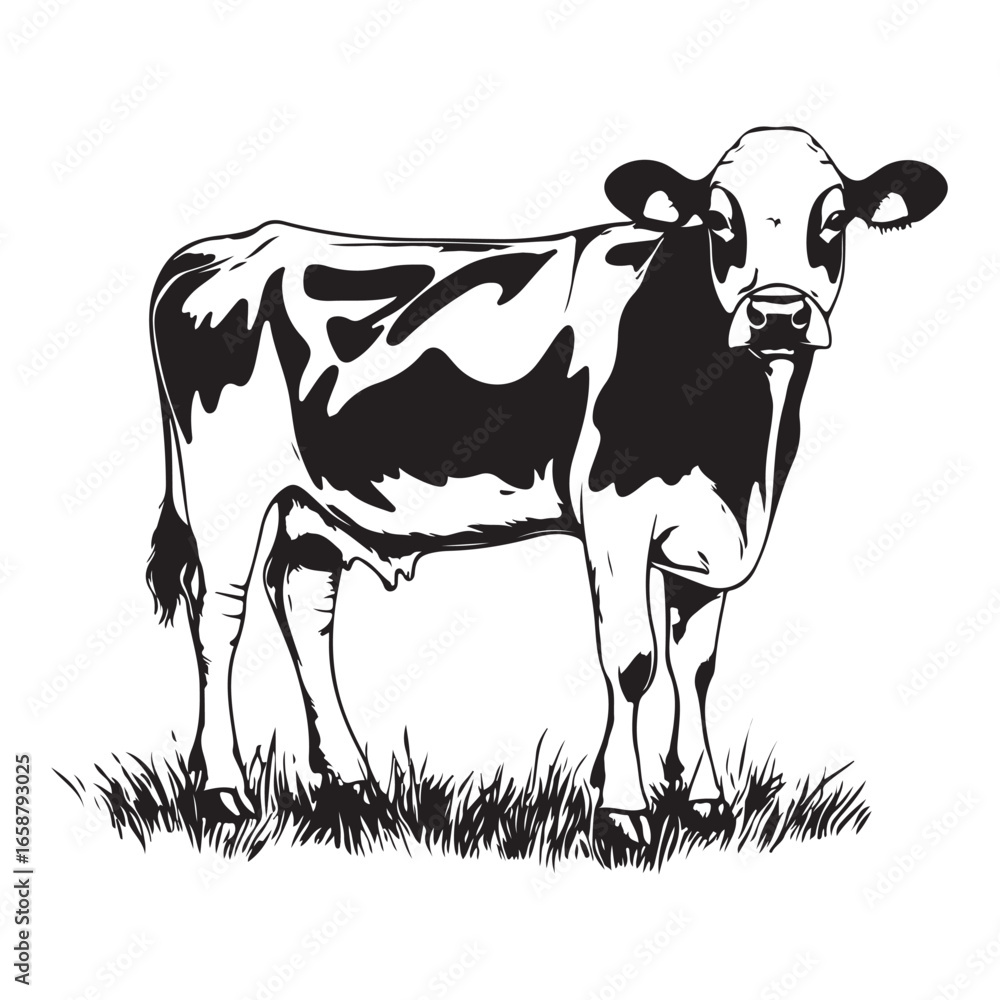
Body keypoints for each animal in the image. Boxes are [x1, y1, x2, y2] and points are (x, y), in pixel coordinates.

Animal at [146, 127, 946, 840]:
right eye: (720, 221)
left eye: (834, 219)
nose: (779, 315)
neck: (743, 445)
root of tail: (224, 248)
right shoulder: (616, 512)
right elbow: (634, 661)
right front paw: (623, 808)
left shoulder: (711, 530)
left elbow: (697, 667)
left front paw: (706, 800)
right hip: (223, 494)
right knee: (220, 621)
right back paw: (222, 790)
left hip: (314, 505)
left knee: (306, 611)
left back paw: (354, 785)